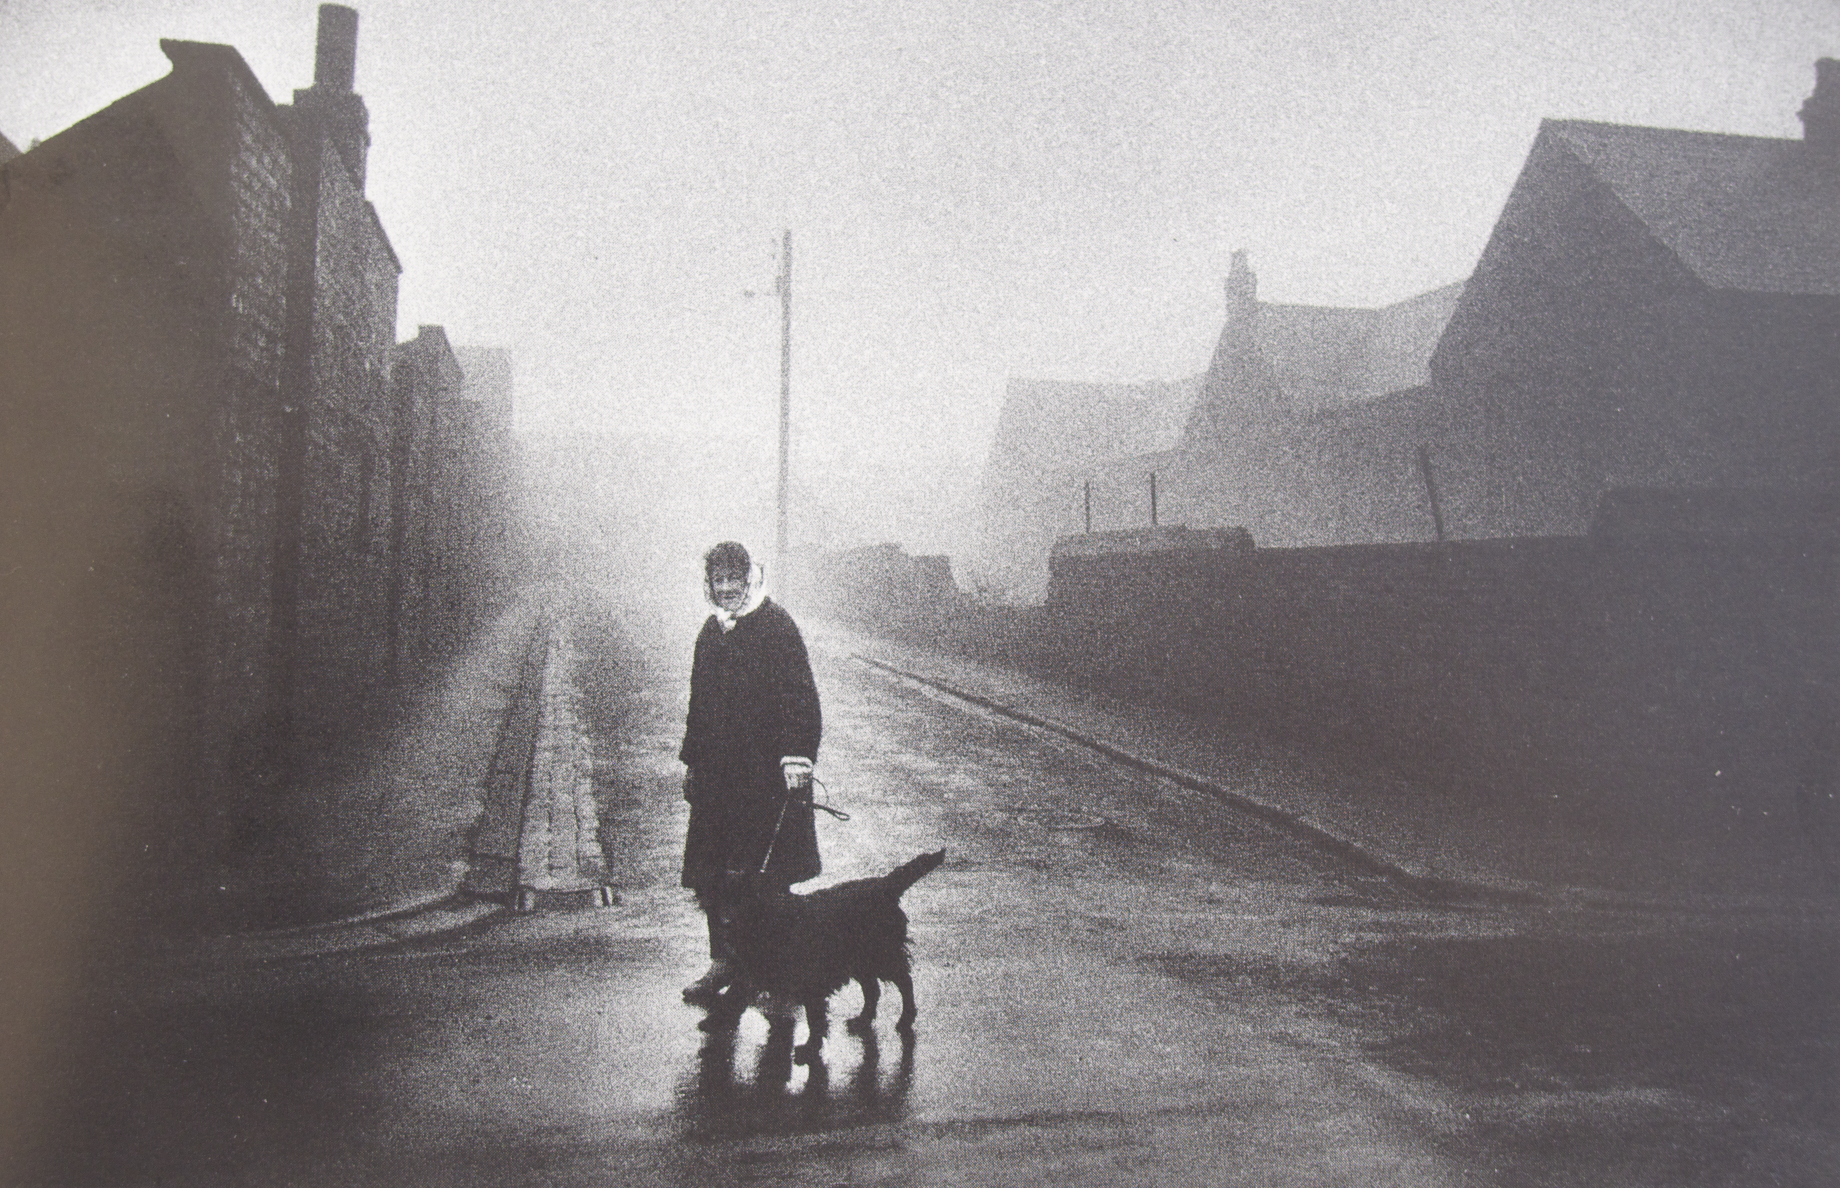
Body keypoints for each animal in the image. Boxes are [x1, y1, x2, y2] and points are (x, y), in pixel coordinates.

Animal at [702, 853, 949, 1066]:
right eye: (721, 898)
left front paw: (810, 1048)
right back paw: (863, 1019)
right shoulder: (751, 971)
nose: (725, 924)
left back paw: (905, 1018)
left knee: (905, 982)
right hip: (860, 961)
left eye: (742, 900)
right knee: (872, 989)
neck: (769, 920)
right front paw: (714, 1020)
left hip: (882, 955)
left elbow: (815, 1018)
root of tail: (885, 884)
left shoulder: (811, 982)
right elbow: (733, 994)